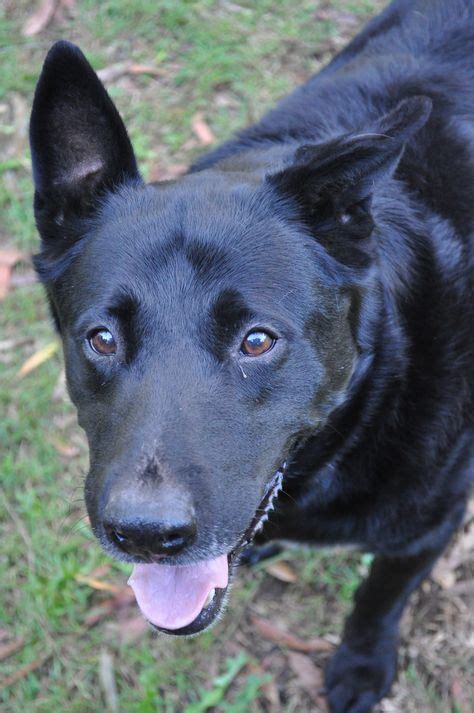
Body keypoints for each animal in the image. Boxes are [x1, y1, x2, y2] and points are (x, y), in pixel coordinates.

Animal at [30, 1, 474, 708]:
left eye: (257, 341)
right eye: (101, 339)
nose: (145, 536)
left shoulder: (431, 526)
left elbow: (378, 598)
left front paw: (362, 664)